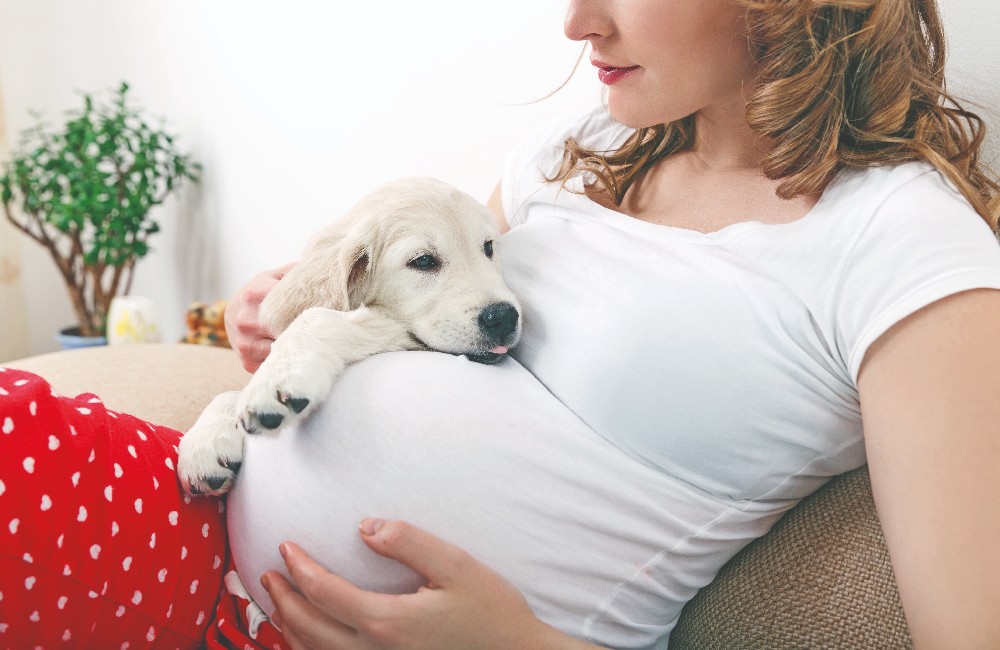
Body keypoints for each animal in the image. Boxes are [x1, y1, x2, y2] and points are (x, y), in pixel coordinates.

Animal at [180, 176, 524, 492]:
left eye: (488, 247)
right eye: (423, 261)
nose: (504, 318)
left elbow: (316, 317)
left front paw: (276, 380)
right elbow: (229, 392)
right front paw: (205, 441)